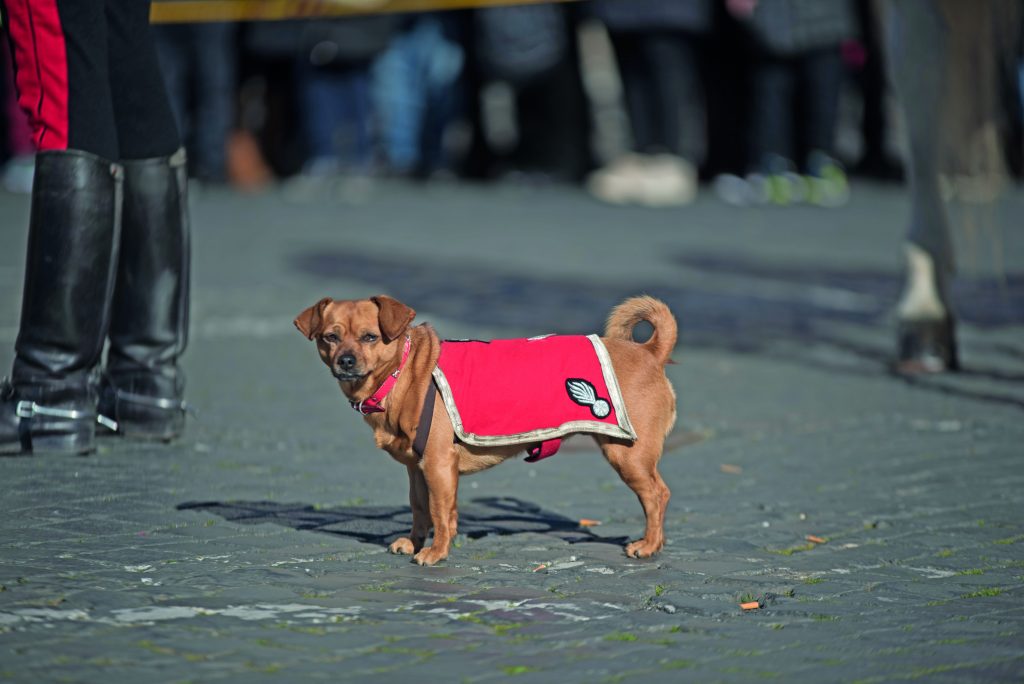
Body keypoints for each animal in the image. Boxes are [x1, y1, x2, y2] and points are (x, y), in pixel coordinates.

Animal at [294, 294, 679, 565]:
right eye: (330, 338)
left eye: (370, 337)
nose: (346, 361)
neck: (401, 375)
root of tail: (650, 352)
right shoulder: (418, 470)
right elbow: (421, 509)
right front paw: (415, 542)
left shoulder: (438, 464)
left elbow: (440, 512)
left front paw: (436, 552)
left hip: (628, 456)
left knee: (657, 495)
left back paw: (649, 546)